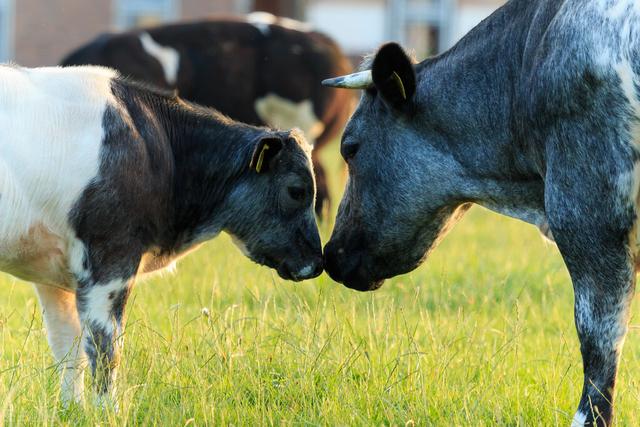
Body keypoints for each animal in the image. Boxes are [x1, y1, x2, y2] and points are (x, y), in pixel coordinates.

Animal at [0, 63, 320, 404]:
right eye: (297, 191)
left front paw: (72, 407)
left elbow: (68, 348)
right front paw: (107, 409)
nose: (316, 263)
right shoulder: (111, 260)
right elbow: (105, 347)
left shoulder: (54, 275)